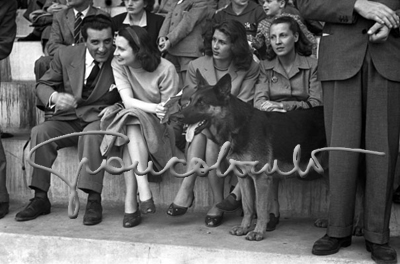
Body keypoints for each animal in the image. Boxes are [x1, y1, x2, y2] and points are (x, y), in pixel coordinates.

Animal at [172, 70, 328, 241]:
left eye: (201, 102)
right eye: (190, 101)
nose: (176, 117)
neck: (238, 126)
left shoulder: (261, 178)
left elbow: (260, 207)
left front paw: (258, 232)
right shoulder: (243, 177)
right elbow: (247, 207)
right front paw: (244, 228)